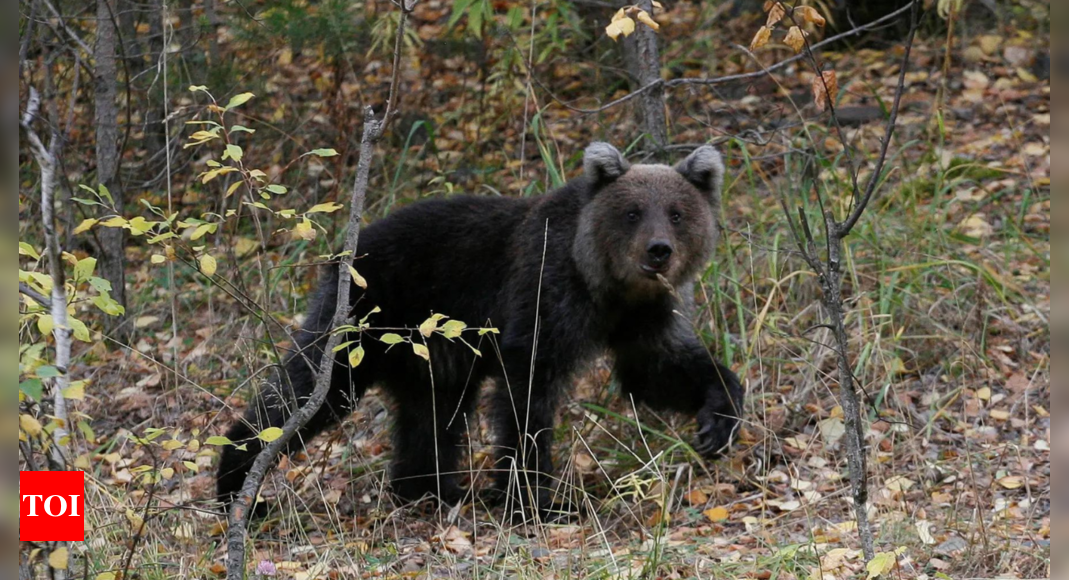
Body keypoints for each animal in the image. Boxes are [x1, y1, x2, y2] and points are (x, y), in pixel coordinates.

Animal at [217, 143, 744, 519]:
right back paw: (240, 484)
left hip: (431, 350)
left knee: (433, 414)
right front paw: (539, 501)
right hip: (366, 319)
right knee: (313, 388)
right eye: (632, 212)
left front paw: (718, 419)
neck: (606, 285)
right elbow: (528, 393)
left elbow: (657, 369)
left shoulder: (642, 315)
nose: (658, 251)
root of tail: (346, 249)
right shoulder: (545, 293)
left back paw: (430, 490)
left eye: (677, 212)